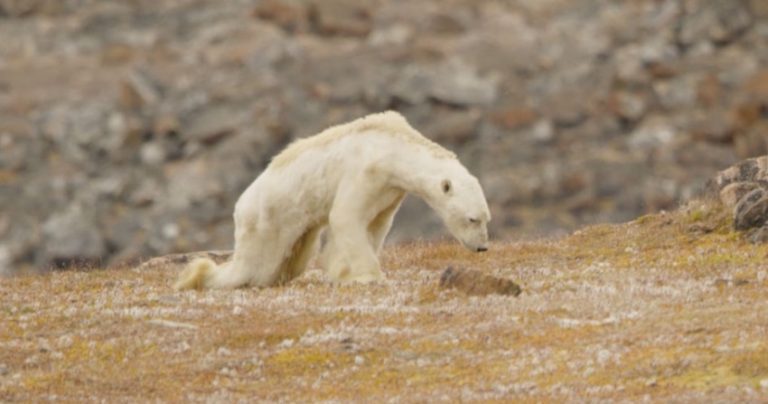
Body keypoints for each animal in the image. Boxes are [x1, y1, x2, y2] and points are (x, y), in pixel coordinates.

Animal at [174, 111, 490, 290]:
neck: (392, 147)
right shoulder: (365, 171)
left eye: (486, 218)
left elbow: (375, 225)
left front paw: (343, 271)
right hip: (267, 221)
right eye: (472, 218)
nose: (482, 247)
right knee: (255, 266)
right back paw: (199, 276)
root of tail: (240, 206)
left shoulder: (389, 190)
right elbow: (346, 216)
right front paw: (369, 276)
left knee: (292, 259)